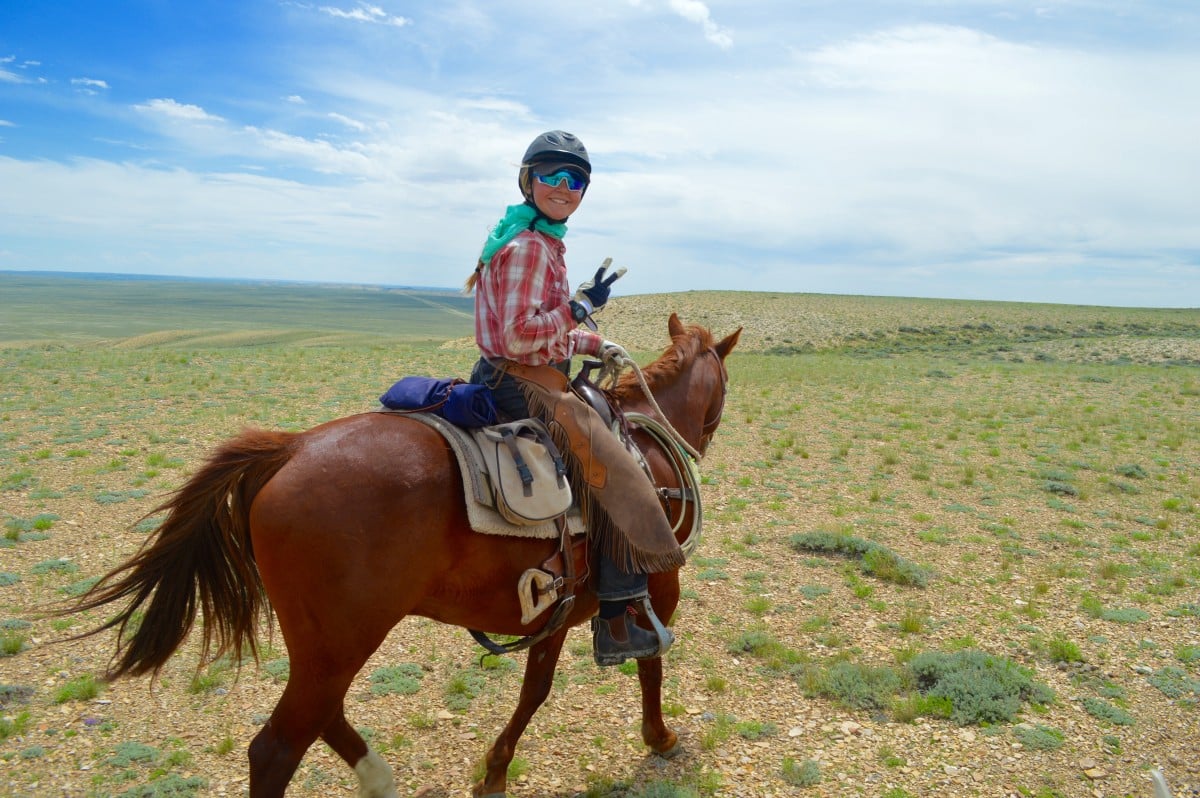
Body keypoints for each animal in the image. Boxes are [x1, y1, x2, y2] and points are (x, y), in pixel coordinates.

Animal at [68, 314, 739, 796]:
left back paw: (379, 778)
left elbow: (535, 689)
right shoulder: (659, 588)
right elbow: (650, 662)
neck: (647, 452)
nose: (705, 438)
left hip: (327, 644)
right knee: (277, 748)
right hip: (344, 639)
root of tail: (288, 449)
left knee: (323, 714)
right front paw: (660, 736)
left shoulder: (559, 608)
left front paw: (494, 773)